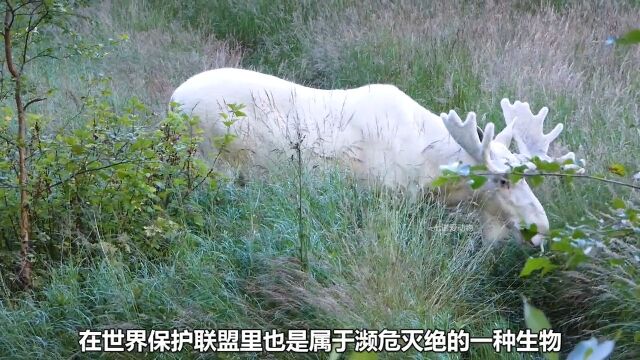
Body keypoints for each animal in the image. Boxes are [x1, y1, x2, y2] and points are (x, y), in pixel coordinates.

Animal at [171, 67, 580, 245]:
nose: (541, 226)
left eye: (528, 177)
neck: (433, 178)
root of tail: (172, 102)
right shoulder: (379, 200)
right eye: (502, 180)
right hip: (211, 169)